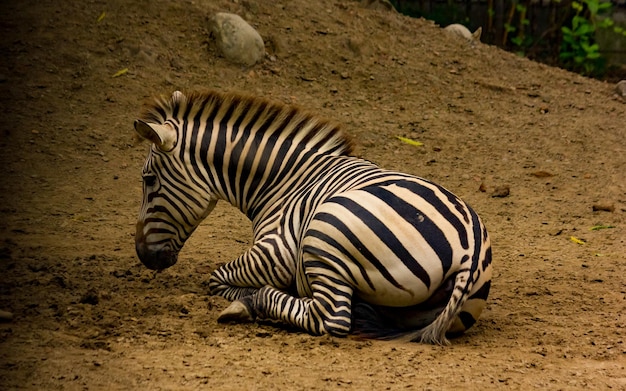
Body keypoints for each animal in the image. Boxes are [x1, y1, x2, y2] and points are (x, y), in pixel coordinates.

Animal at [134, 89, 490, 346]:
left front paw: (246, 297)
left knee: (330, 317)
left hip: (324, 230)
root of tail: (469, 248)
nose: (143, 255)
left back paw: (250, 305)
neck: (284, 180)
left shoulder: (275, 252)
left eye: (148, 180)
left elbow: (217, 279)